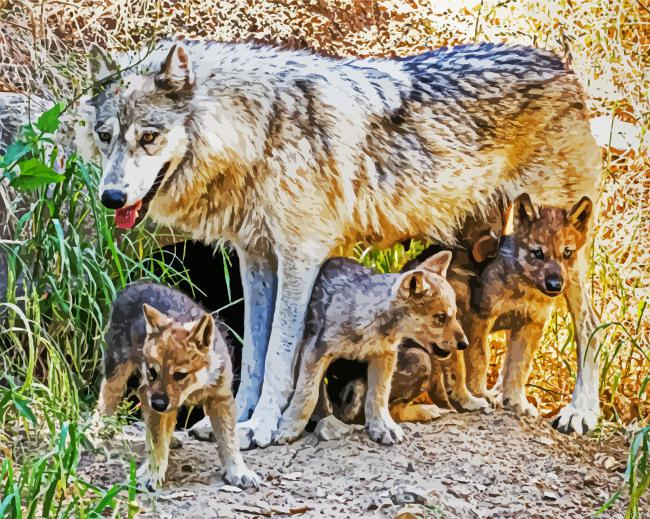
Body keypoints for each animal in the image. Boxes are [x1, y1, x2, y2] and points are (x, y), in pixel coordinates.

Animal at [97, 282, 259, 490]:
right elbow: (158, 441)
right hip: (118, 369)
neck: (195, 388)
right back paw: (98, 433)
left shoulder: (221, 398)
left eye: (180, 375)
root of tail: (135, 285)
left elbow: (229, 439)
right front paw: (152, 473)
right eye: (153, 372)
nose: (158, 404)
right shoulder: (155, 398)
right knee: (107, 398)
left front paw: (237, 471)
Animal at [273, 251, 466, 445]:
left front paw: (382, 427)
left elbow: (378, 395)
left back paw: (425, 411)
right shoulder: (315, 352)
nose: (465, 344)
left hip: (420, 359)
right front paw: (289, 427)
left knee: (392, 408)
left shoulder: (385, 356)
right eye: (440, 317)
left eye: (454, 315)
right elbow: (306, 395)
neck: (371, 321)